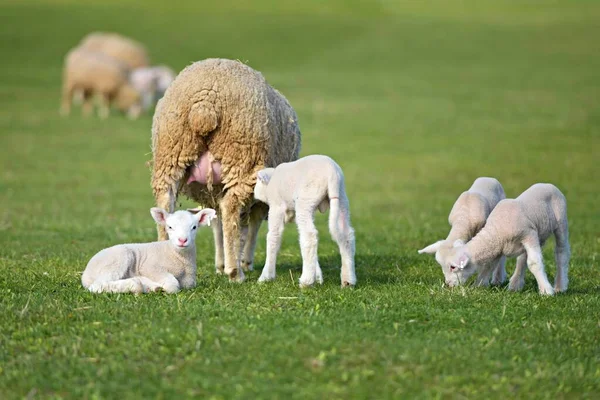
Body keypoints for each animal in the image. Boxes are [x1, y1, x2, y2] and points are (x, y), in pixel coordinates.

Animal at [81, 208, 217, 292]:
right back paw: (136, 285)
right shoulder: (150, 267)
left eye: (194, 227)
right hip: (118, 259)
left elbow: (187, 284)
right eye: (170, 227)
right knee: (97, 285)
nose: (182, 240)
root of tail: (86, 274)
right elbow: (172, 285)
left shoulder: (189, 280)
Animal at [150, 57, 300, 282]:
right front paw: (244, 261)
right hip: (242, 156)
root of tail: (205, 103)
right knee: (231, 209)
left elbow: (215, 224)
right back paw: (235, 272)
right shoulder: (261, 201)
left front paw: (221, 264)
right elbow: (250, 226)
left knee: (165, 204)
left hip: (170, 152)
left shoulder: (212, 193)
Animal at [253, 154, 356, 288]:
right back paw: (348, 281)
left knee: (309, 236)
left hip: (305, 201)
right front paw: (317, 276)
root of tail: (332, 174)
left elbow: (273, 237)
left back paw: (306, 281)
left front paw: (265, 277)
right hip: (341, 200)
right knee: (346, 236)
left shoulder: (276, 207)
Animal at [440, 183, 572, 296]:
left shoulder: (529, 235)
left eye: (453, 267)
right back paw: (515, 285)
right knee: (522, 259)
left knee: (561, 252)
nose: (448, 285)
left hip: (561, 221)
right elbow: (489, 265)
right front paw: (479, 285)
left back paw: (560, 286)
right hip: (540, 233)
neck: (497, 231)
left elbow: (534, 262)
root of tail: (548, 184)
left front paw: (546, 291)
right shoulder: (498, 248)